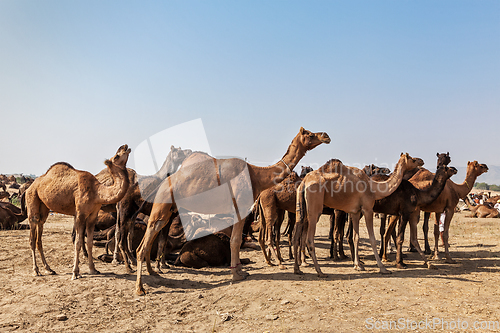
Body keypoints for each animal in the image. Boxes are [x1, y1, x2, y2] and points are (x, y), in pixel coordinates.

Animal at [23, 145, 131, 278]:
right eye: (116, 156)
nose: (125, 146)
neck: (97, 192)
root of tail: (30, 186)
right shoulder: (80, 214)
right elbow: (78, 242)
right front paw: (75, 273)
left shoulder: (93, 215)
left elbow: (89, 242)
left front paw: (93, 269)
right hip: (32, 197)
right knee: (32, 236)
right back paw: (36, 270)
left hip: (43, 207)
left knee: (39, 233)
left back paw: (49, 269)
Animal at [292, 152, 426, 276]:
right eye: (413, 159)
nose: (421, 161)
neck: (374, 188)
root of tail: (304, 182)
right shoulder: (367, 209)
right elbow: (372, 239)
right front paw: (383, 268)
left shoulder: (355, 212)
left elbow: (356, 237)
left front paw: (358, 265)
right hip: (315, 207)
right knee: (309, 239)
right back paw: (320, 271)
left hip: (301, 207)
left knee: (297, 234)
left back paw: (298, 269)